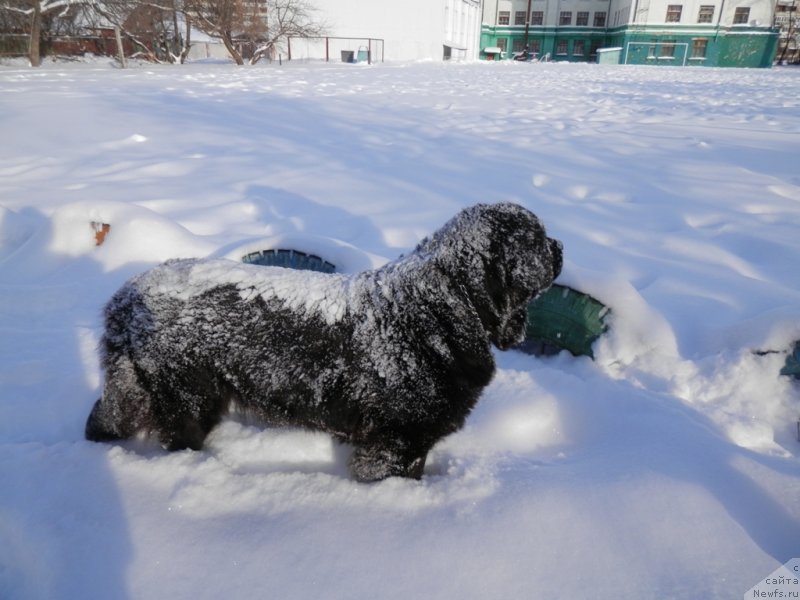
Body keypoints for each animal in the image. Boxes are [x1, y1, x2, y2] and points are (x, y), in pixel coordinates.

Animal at [86, 204, 564, 480]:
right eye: (537, 239)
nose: (560, 244)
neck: (442, 308)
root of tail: (127, 293)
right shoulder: (397, 441)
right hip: (187, 398)